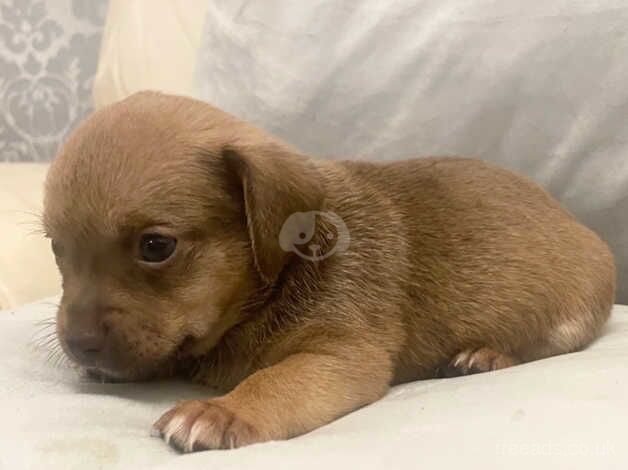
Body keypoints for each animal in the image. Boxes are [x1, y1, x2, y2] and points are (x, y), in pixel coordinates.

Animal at [45, 91, 620, 452]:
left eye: (156, 246)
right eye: (55, 247)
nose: (78, 346)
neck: (284, 274)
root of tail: (574, 221)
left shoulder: (340, 355)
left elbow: (274, 380)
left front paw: (221, 411)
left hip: (570, 314)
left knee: (544, 344)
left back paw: (486, 355)